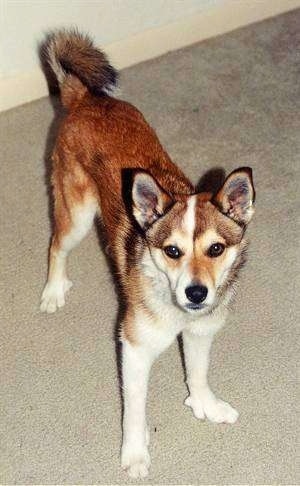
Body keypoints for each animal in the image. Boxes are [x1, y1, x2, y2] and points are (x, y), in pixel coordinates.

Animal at [39, 30, 255, 478]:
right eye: (172, 250)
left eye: (216, 248)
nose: (196, 293)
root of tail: (85, 98)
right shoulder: (135, 349)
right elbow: (134, 413)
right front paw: (135, 454)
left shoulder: (201, 332)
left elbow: (198, 373)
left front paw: (205, 404)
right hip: (76, 214)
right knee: (55, 246)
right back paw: (53, 291)